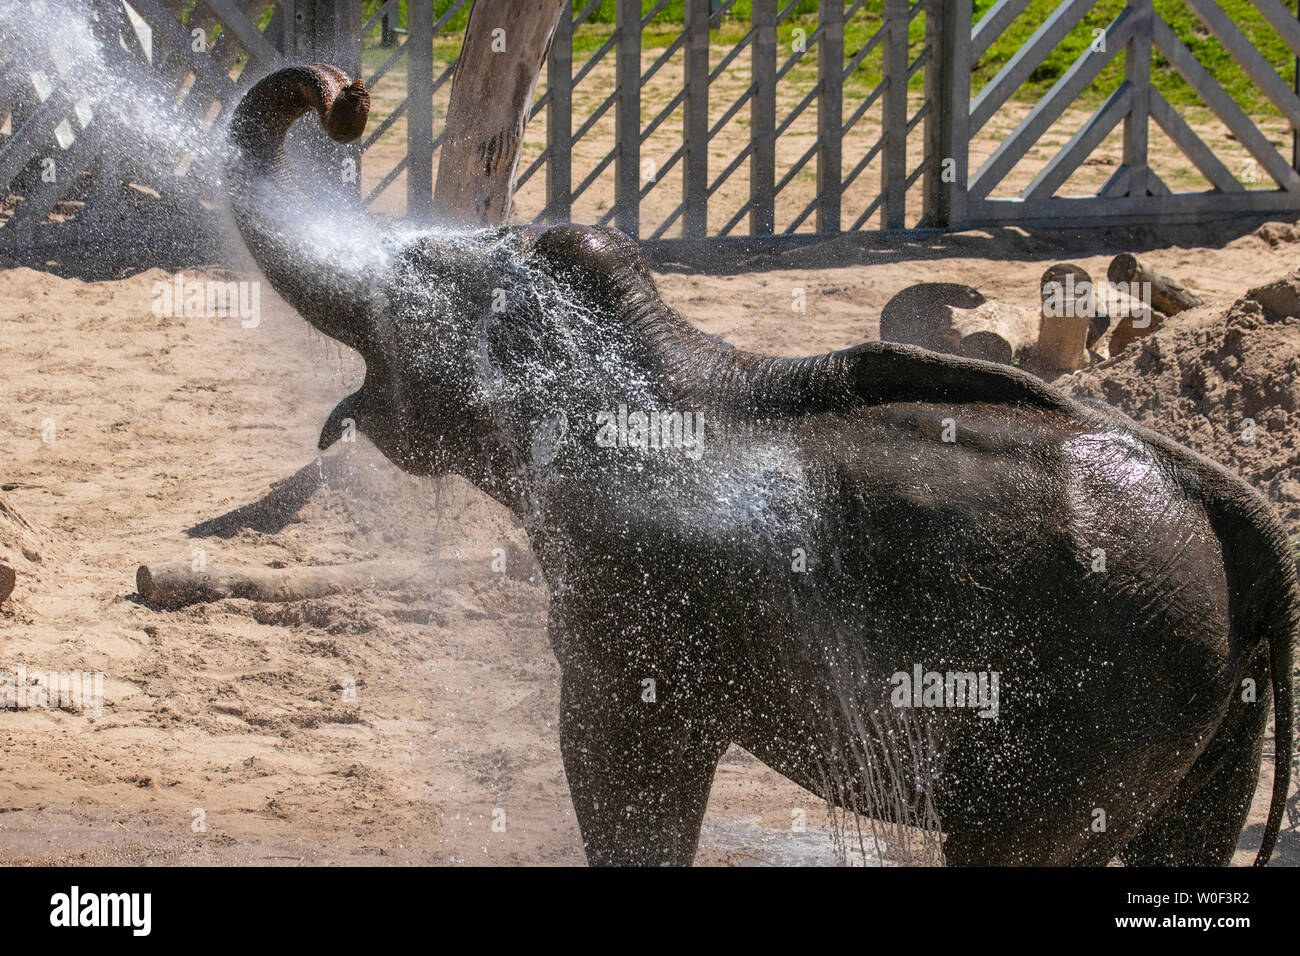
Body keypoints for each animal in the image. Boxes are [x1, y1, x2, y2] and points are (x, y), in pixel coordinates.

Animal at [228, 63, 1294, 863]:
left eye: (406, 292)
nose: (348, 96)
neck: (654, 353)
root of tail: (1240, 517)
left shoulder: (633, 606)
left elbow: (624, 767)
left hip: (1097, 704)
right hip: (1214, 708)